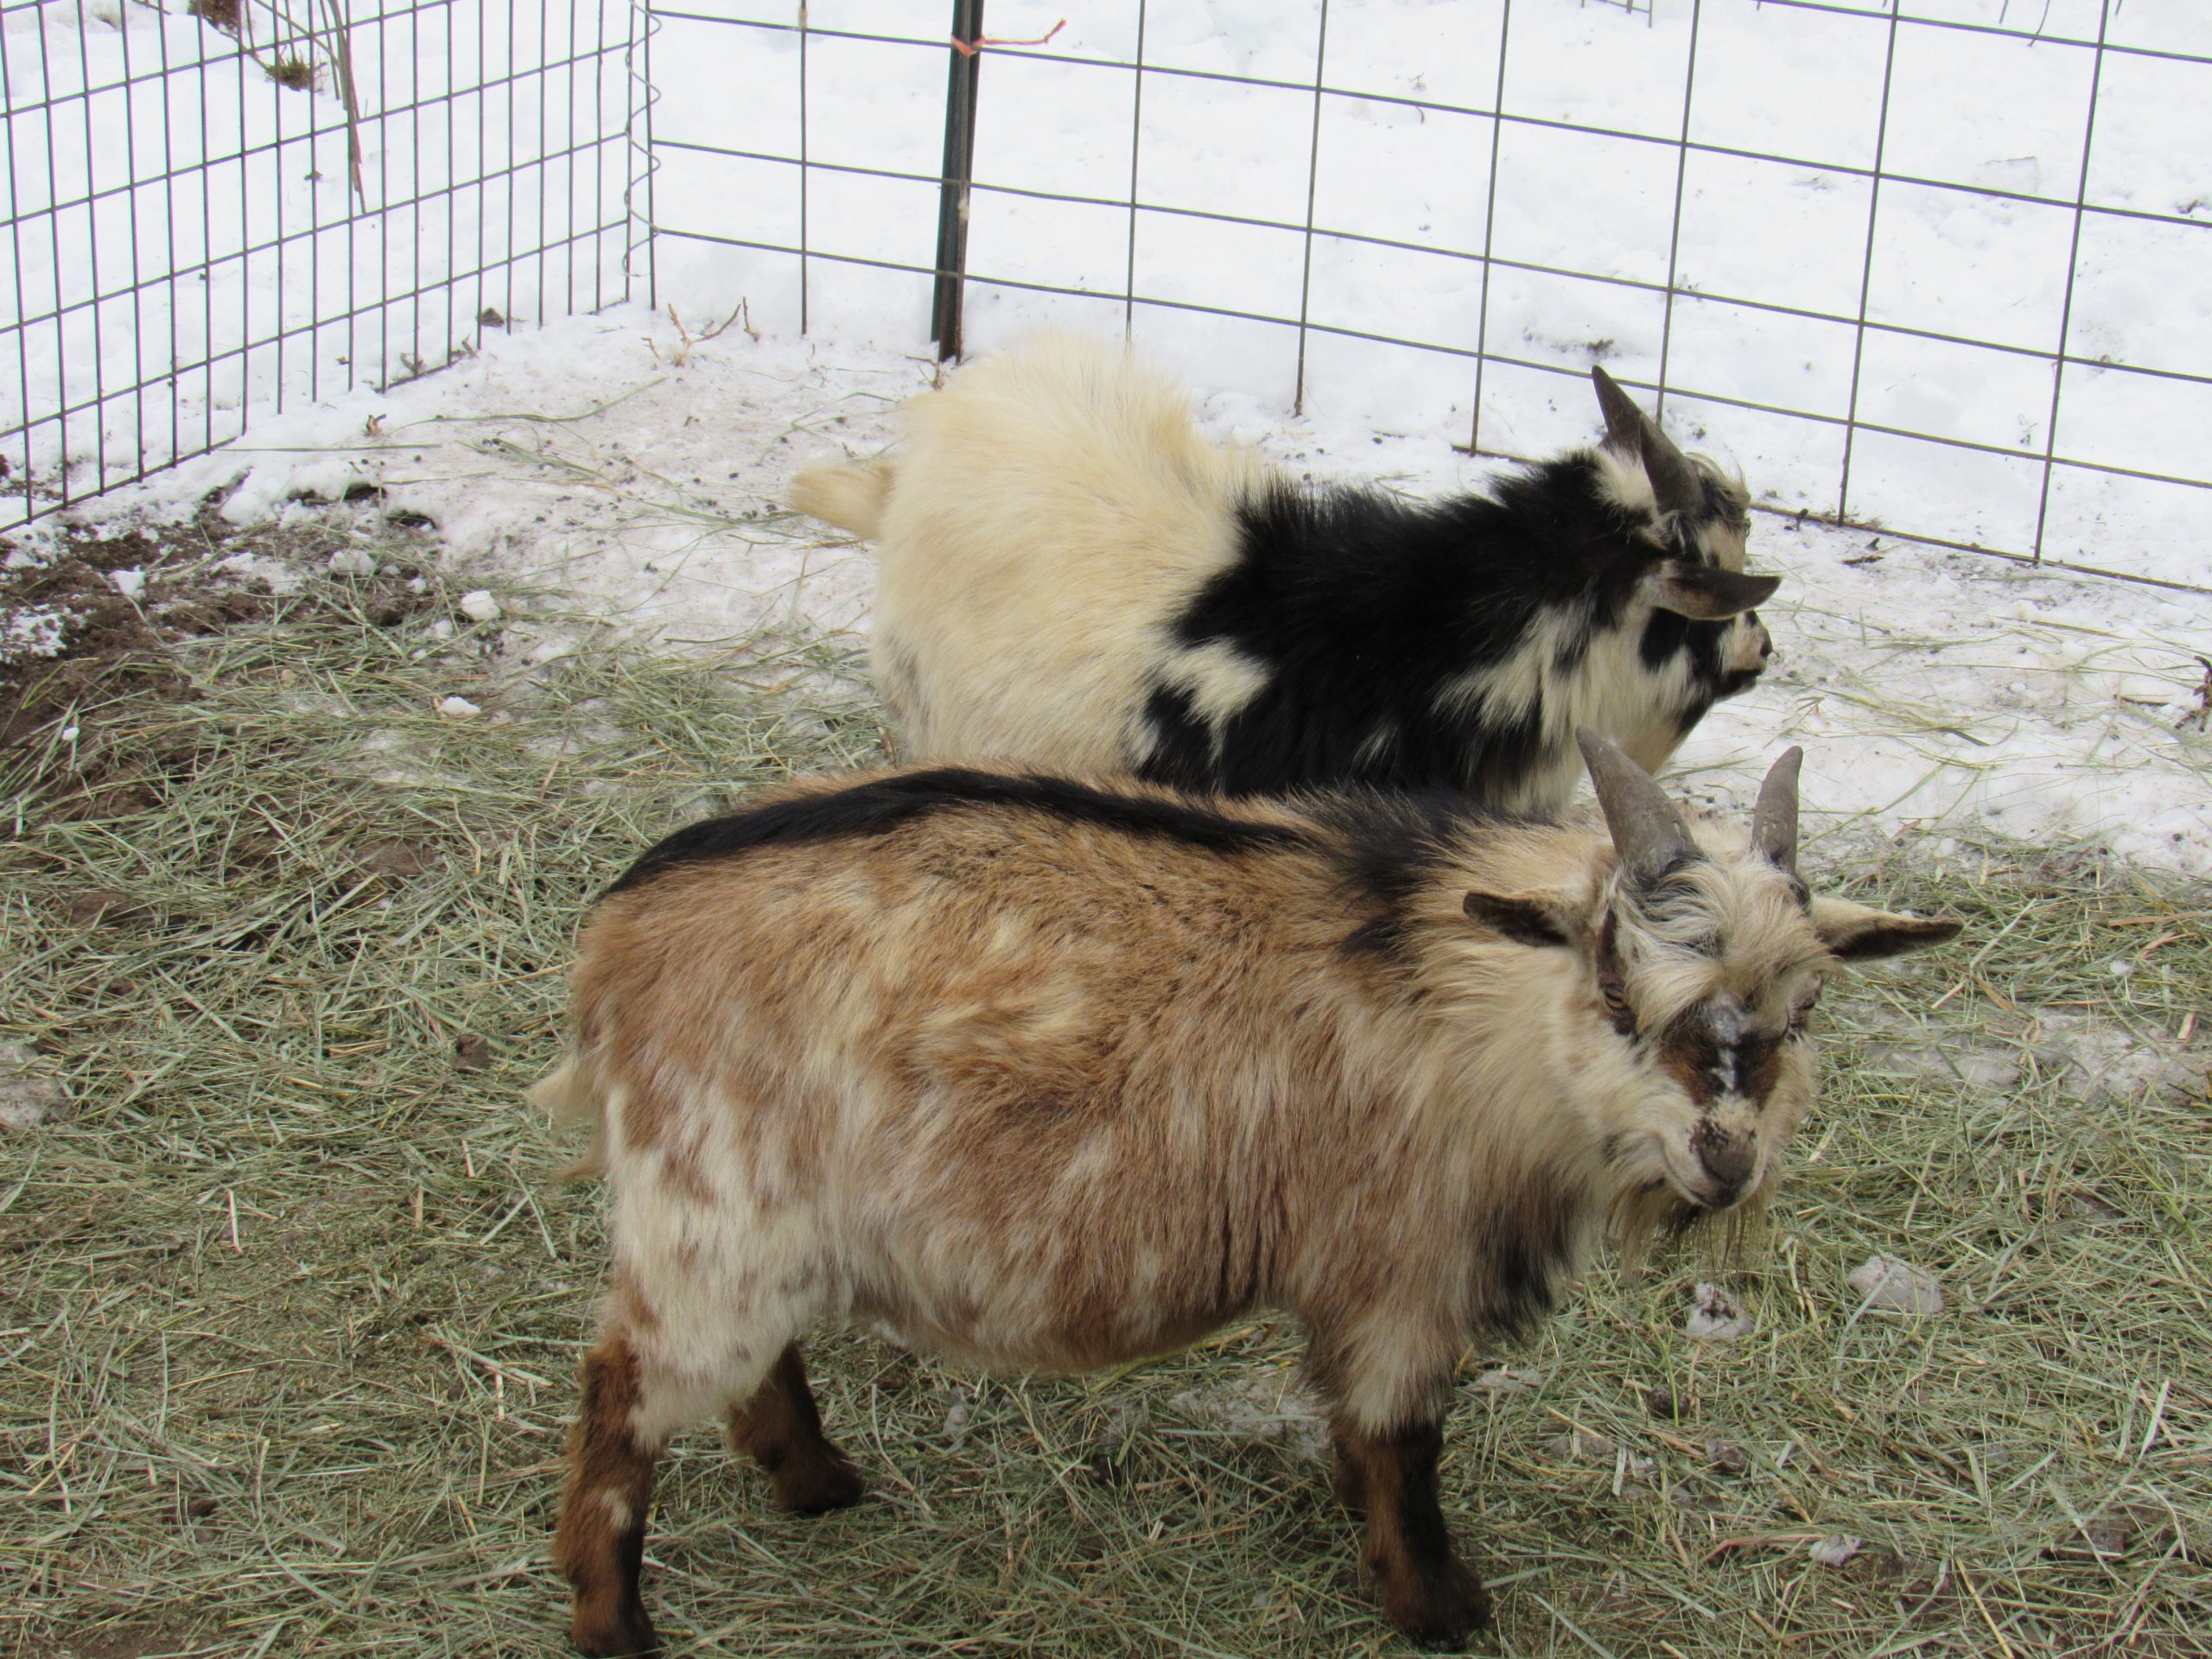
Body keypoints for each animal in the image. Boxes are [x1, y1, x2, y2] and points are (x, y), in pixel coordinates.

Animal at [540, 733, 1956, 1654]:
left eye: (1804, 1010)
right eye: (1618, 989)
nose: (1725, 1155)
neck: (1453, 1003)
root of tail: (615, 937)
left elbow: (1362, 1437)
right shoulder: (1400, 1270)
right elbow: (1402, 1441)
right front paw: (1439, 1607)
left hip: (751, 1223)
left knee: (748, 1363)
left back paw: (817, 1481)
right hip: (711, 1202)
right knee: (623, 1394)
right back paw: (616, 1624)